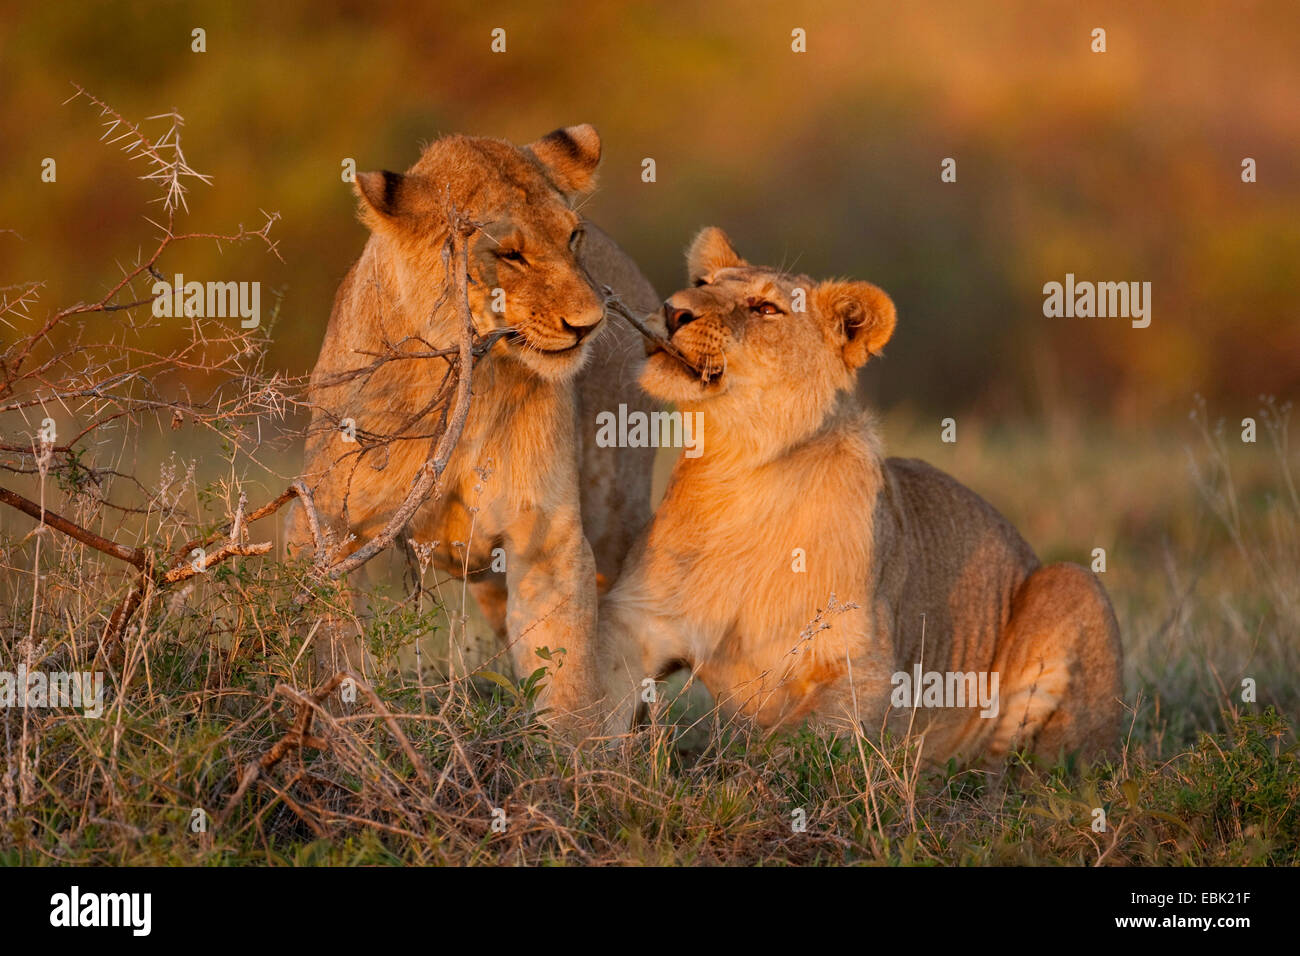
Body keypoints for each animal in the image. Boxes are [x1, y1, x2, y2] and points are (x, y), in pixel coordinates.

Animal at [291, 125, 658, 728]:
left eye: (572, 237)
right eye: (509, 254)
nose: (589, 324)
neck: (469, 372)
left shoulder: (547, 537)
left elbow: (567, 673)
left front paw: (575, 752)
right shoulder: (323, 519)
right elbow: (334, 641)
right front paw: (343, 724)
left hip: (615, 513)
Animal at [598, 227, 1123, 763]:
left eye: (765, 308)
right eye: (701, 284)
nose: (672, 310)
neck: (737, 465)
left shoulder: (866, 667)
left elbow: (796, 740)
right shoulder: (635, 625)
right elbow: (594, 702)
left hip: (1072, 584)